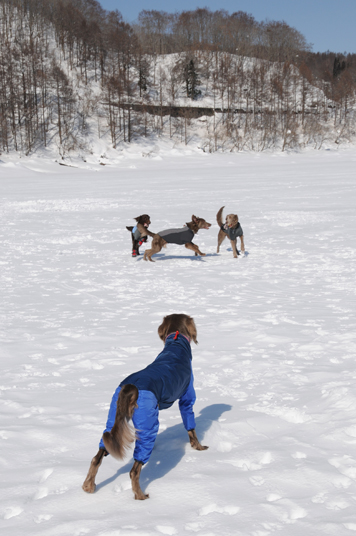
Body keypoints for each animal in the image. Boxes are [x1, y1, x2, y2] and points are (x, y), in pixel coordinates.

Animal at [81, 312, 207, 500]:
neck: (176, 344)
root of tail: (131, 386)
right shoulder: (187, 396)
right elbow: (191, 427)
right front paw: (199, 447)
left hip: (112, 420)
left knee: (97, 457)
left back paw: (88, 486)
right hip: (148, 423)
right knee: (134, 470)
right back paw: (140, 496)